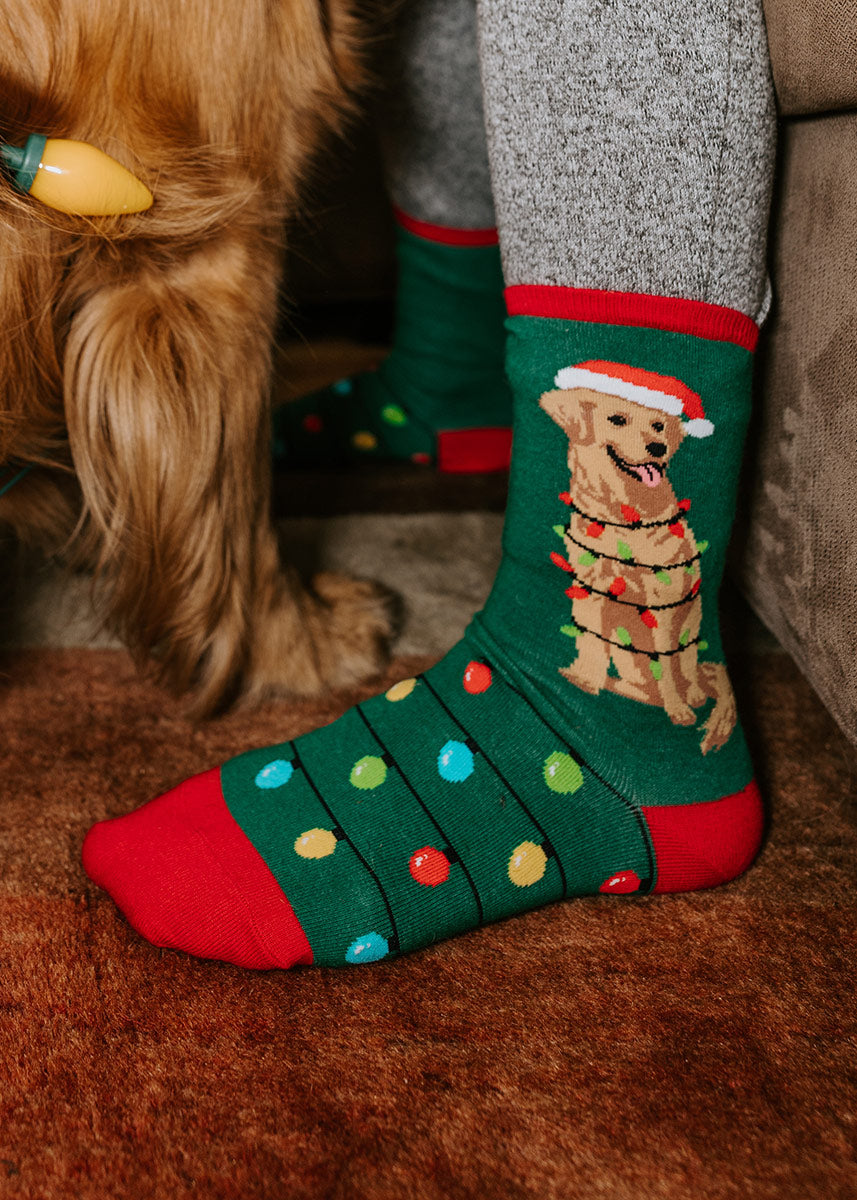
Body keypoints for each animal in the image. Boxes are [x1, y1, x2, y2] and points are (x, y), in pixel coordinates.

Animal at [540, 360, 734, 748]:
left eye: (659, 425)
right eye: (617, 419)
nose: (658, 447)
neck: (621, 515)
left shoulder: (662, 599)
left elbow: (666, 665)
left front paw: (678, 710)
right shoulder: (591, 585)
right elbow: (590, 642)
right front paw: (584, 681)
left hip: (692, 624)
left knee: (685, 668)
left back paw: (690, 696)